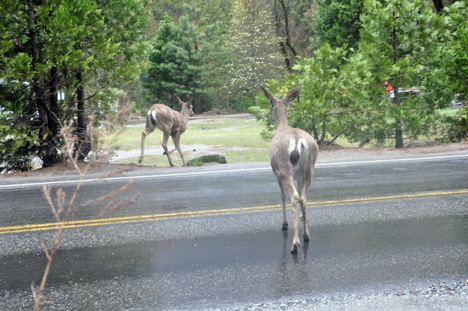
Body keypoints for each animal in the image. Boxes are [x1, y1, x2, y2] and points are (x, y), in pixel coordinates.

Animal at [262, 84, 320, 254]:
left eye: (270, 104)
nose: (270, 114)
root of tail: (297, 140)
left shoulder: (276, 173)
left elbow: (282, 197)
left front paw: (284, 223)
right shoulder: (298, 176)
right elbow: (301, 197)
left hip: (285, 169)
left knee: (294, 197)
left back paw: (295, 244)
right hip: (309, 169)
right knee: (303, 198)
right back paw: (306, 235)